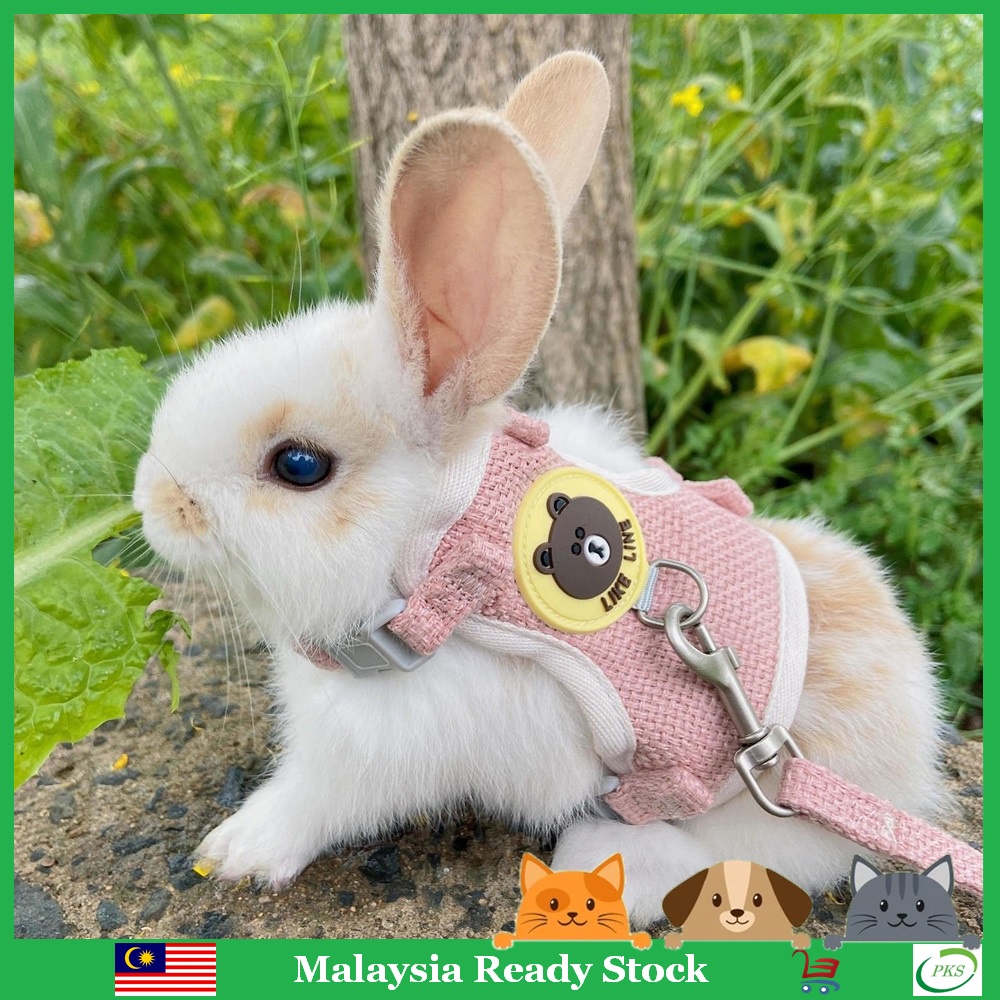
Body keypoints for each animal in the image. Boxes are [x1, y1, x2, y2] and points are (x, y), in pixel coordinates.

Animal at [133, 52, 947, 928]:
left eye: (299, 466)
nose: (152, 497)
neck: (439, 542)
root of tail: (917, 729)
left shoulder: (376, 750)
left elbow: (313, 803)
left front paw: (234, 853)